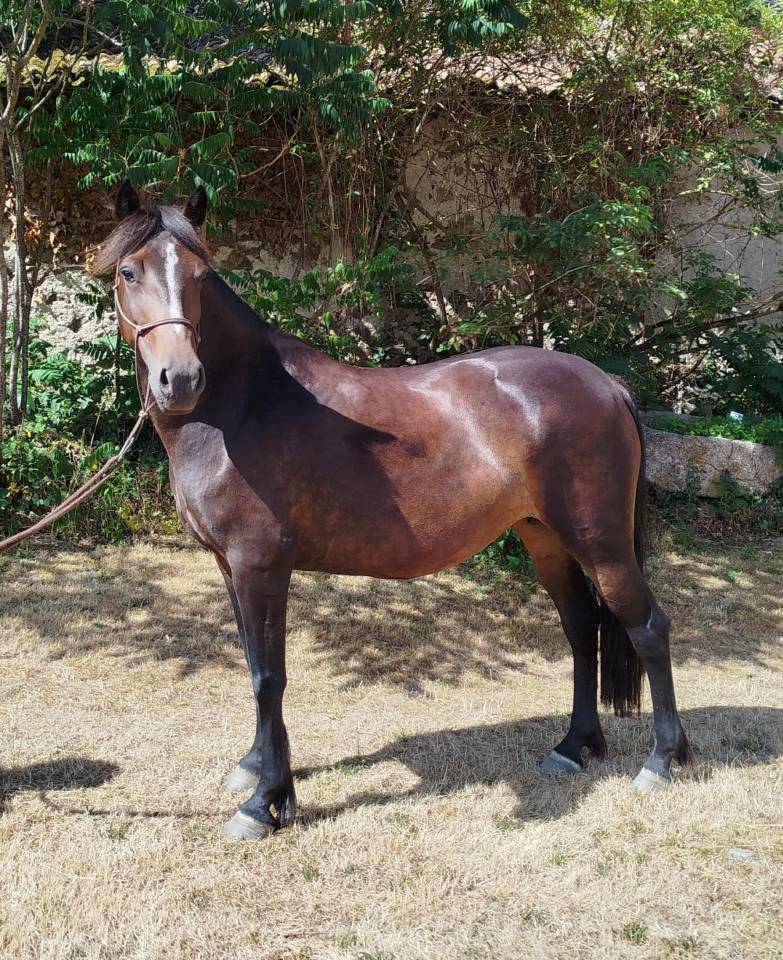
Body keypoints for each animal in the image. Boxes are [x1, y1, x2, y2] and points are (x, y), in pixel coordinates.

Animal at [91, 180, 694, 840]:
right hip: (545, 537)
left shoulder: (259, 565)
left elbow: (268, 676)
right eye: (128, 272)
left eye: (201, 274)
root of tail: (607, 384)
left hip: (600, 541)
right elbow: (255, 664)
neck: (243, 406)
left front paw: (264, 803)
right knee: (583, 627)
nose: (180, 379)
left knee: (648, 626)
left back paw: (661, 761)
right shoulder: (231, 567)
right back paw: (572, 747)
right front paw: (259, 772)